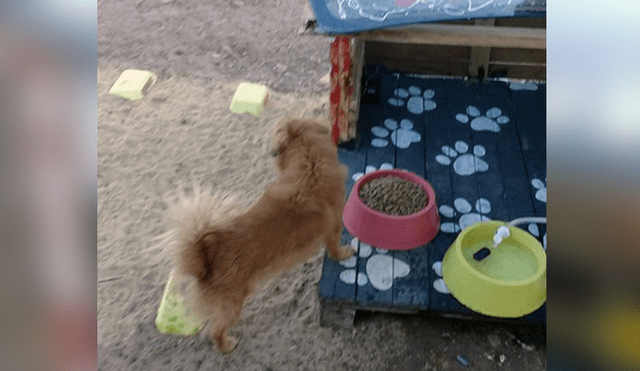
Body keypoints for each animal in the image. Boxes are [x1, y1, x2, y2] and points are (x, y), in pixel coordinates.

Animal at [171, 117, 356, 354]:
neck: (311, 166)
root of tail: (206, 260)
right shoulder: (333, 229)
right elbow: (335, 250)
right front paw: (345, 254)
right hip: (233, 306)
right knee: (216, 330)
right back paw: (226, 345)